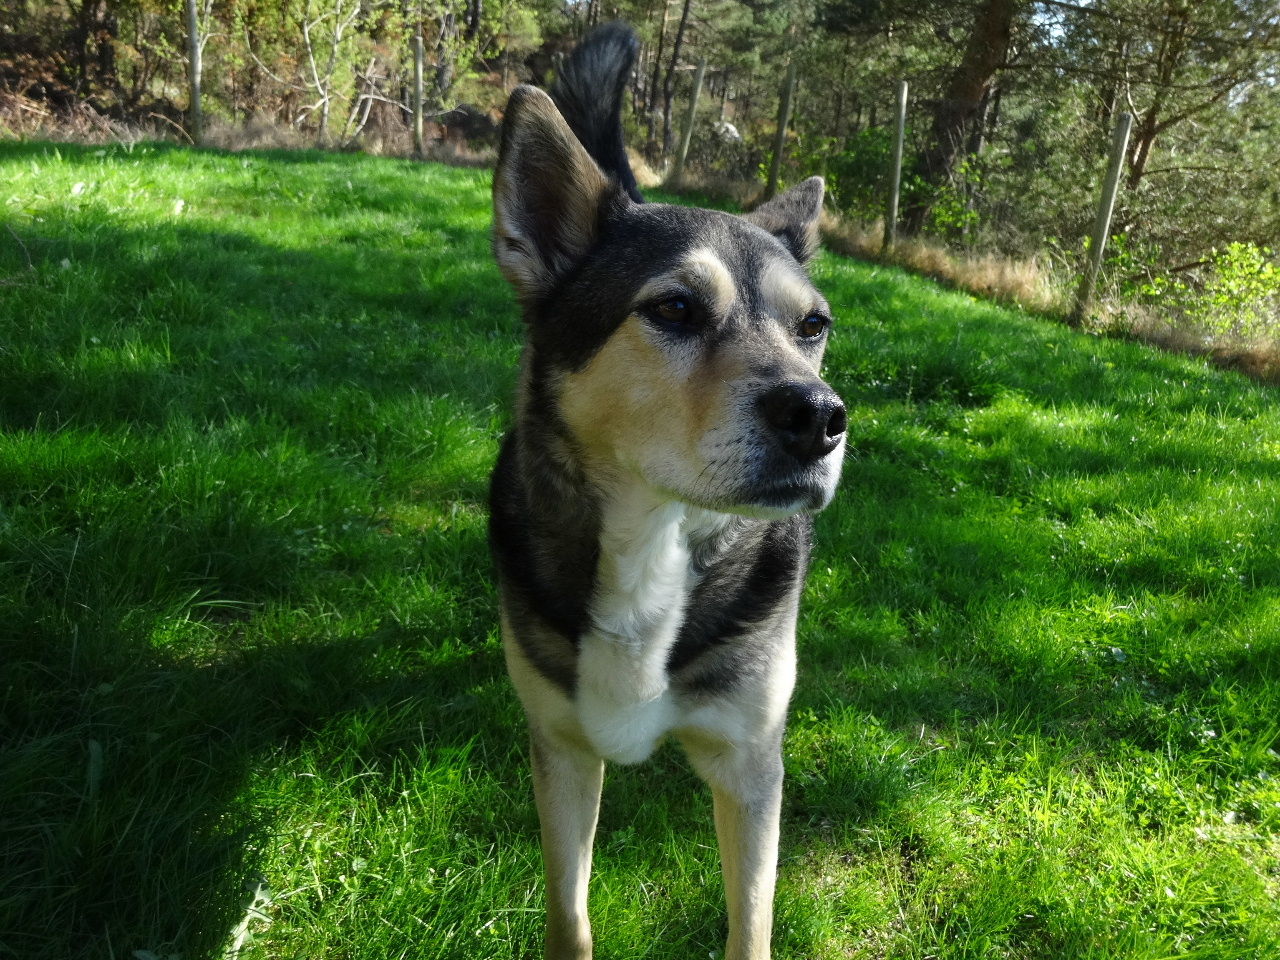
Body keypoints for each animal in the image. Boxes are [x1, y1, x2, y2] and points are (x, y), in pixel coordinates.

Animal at [488, 23, 846, 960]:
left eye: (813, 326)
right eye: (676, 308)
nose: (821, 417)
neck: (655, 536)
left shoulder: (751, 765)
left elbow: (751, 923)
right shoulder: (561, 750)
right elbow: (569, 914)